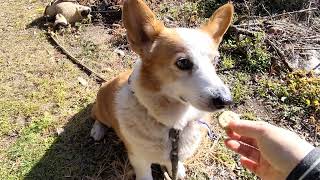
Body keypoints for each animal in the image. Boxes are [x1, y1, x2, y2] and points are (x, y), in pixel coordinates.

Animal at [91, 0, 234, 179]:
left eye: (215, 60)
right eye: (183, 62)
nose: (226, 101)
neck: (173, 126)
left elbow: (174, 163)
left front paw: (177, 170)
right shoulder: (139, 159)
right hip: (101, 108)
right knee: (97, 116)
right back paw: (97, 130)